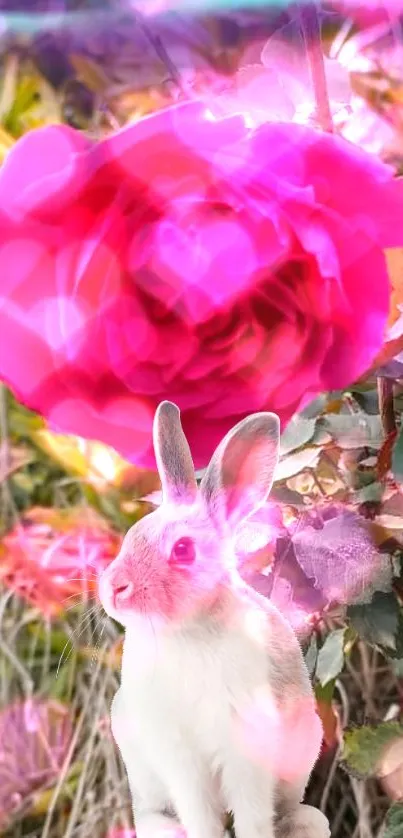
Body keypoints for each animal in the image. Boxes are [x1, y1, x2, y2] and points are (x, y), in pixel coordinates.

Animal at [98, 404, 332, 838]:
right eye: (131, 534)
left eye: (183, 549)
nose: (113, 588)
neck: (185, 632)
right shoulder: (180, 759)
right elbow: (200, 814)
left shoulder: (247, 749)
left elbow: (252, 815)